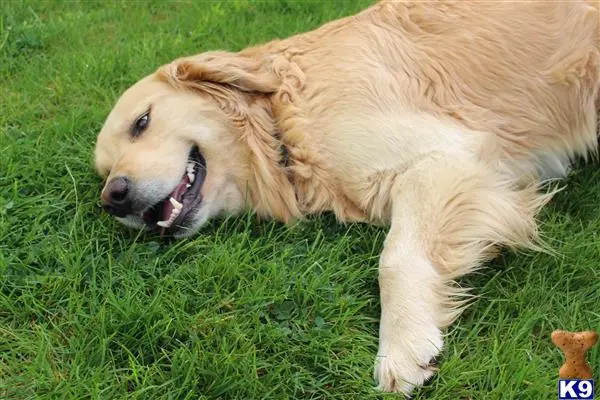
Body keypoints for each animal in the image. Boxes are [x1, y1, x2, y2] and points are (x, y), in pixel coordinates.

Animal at [95, 0, 600, 394]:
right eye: (104, 171)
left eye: (142, 122)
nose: (113, 197)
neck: (281, 122)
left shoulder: (448, 155)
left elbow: (396, 257)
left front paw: (402, 344)